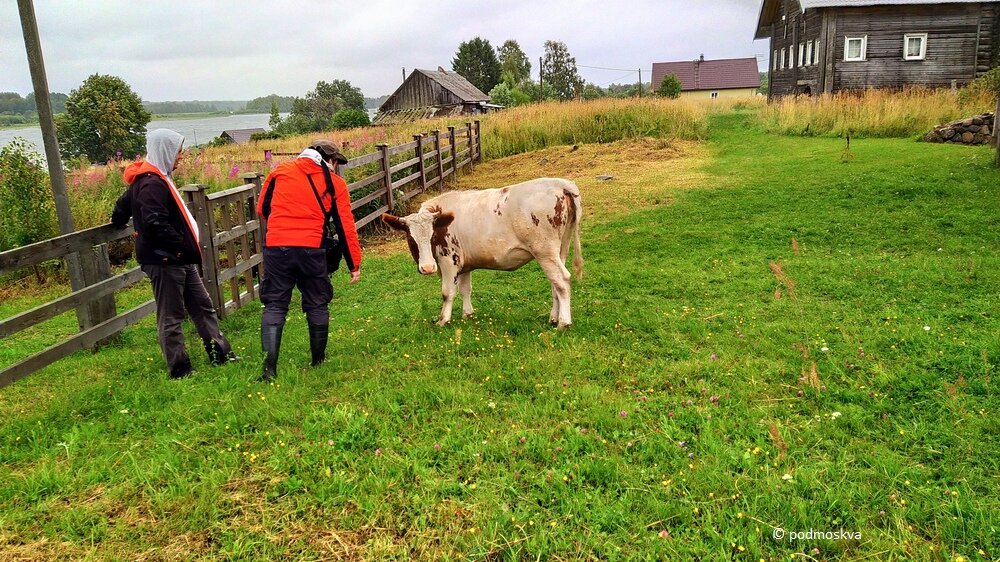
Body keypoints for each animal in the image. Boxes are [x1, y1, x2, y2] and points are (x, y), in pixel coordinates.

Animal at [382, 177, 584, 326]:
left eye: (432, 237)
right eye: (411, 239)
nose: (428, 268)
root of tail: (560, 183)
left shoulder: (449, 261)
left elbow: (448, 292)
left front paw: (443, 320)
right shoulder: (464, 264)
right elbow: (465, 289)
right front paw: (468, 314)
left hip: (544, 251)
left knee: (562, 280)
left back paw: (563, 323)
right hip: (559, 250)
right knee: (555, 283)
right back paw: (554, 318)